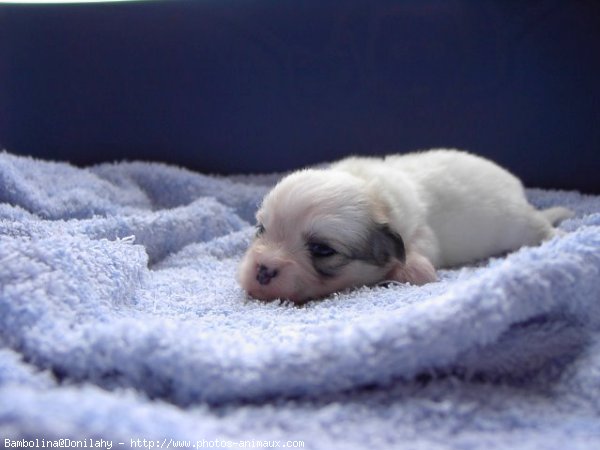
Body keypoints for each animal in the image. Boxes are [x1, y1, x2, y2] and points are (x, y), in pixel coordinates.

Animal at [238, 150, 572, 302]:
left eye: (322, 249)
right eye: (261, 230)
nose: (262, 269)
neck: (374, 194)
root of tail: (517, 189)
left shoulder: (422, 232)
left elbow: (419, 259)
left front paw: (402, 272)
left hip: (518, 224)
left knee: (541, 228)